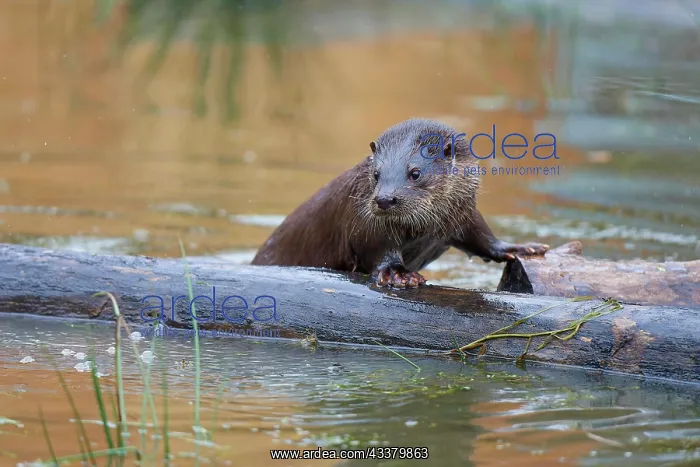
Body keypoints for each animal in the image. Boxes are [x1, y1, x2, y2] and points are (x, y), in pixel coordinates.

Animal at [251, 118, 549, 288]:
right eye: (376, 173)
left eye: (415, 173)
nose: (384, 199)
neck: (423, 230)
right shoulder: (364, 224)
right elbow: (376, 249)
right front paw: (398, 274)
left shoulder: (462, 212)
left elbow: (480, 236)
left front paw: (522, 248)